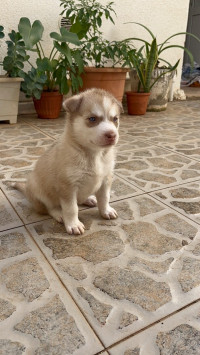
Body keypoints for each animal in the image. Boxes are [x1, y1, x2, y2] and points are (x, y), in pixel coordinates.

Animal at [13, 88, 122, 235]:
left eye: (115, 119)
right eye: (92, 119)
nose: (112, 135)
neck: (94, 155)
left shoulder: (106, 179)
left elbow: (104, 198)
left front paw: (106, 210)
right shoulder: (68, 186)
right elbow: (71, 208)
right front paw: (73, 224)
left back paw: (89, 199)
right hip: (37, 188)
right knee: (49, 207)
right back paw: (59, 214)